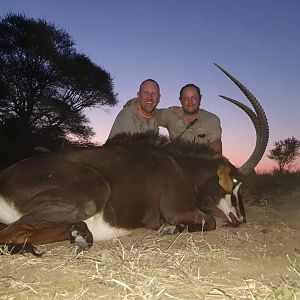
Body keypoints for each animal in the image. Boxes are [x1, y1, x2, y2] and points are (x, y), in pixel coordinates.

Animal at [0, 64, 268, 254]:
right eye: (236, 183)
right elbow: (209, 220)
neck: (181, 165)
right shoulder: (177, 209)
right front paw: (169, 228)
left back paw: (78, 235)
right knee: (10, 233)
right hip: (90, 194)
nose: (241, 219)